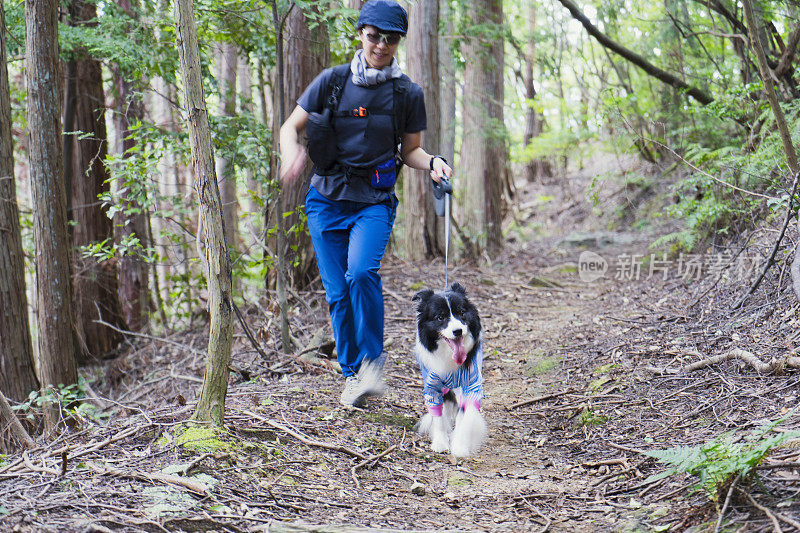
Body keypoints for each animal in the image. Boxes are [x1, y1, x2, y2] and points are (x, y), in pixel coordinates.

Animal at [412, 282, 488, 458]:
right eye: (440, 317)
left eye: (461, 313)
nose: (458, 331)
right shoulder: (432, 388)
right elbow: (439, 418)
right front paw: (440, 443)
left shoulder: (471, 386)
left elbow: (466, 417)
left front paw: (459, 445)